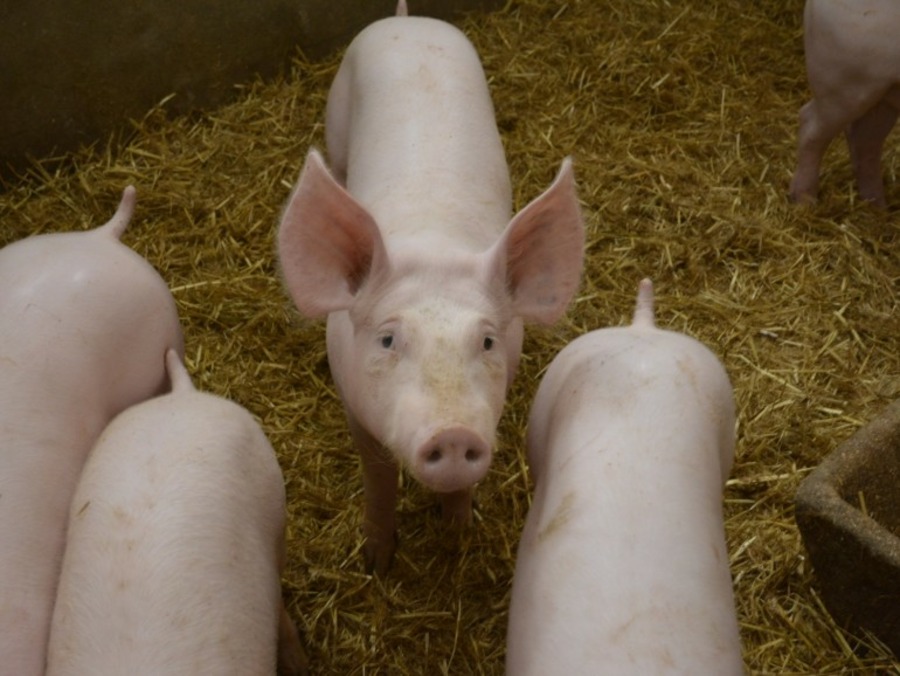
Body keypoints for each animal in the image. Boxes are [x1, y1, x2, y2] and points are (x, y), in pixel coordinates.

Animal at [276, 7, 584, 576]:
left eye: (487, 341)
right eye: (387, 340)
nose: (454, 433)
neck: (433, 240)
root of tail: (409, 19)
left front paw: (458, 532)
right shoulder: (353, 404)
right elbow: (377, 475)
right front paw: (376, 560)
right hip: (337, 115)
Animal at [792, 0, 896, 206]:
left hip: (882, 93)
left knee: (866, 140)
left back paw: (876, 206)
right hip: (844, 84)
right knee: (810, 127)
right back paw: (805, 202)